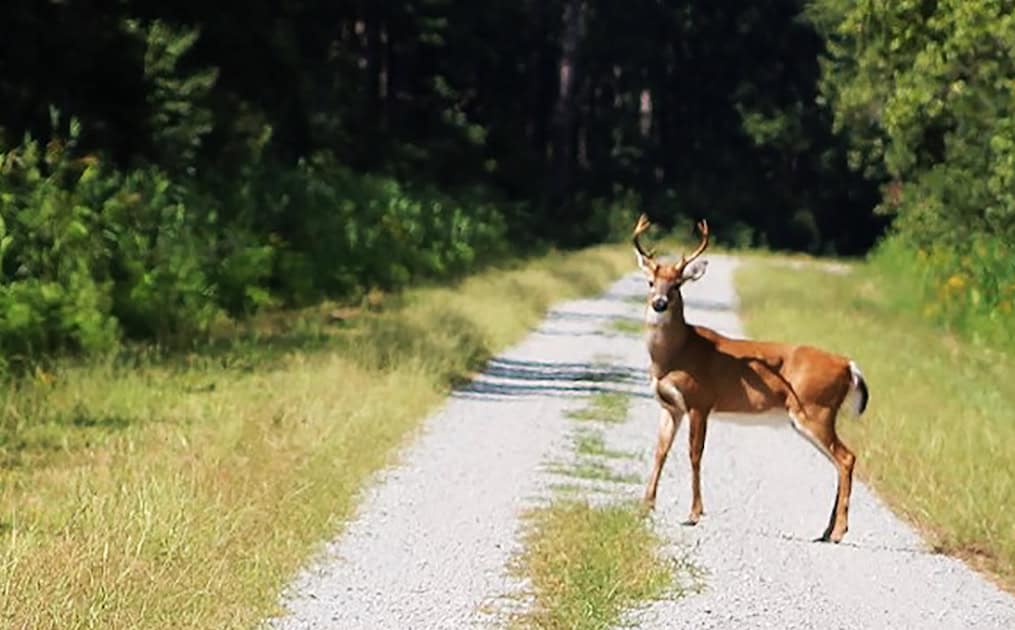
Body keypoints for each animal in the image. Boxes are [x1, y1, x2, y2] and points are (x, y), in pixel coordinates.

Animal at [632, 214, 870, 543]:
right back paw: (825, 530)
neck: (674, 355)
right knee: (839, 461)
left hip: (815, 410)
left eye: (677, 285)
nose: (659, 303)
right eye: (650, 282)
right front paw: (645, 505)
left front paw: (693, 514)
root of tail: (849, 365)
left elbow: (695, 455)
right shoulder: (671, 406)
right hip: (809, 417)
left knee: (846, 458)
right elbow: (660, 452)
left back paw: (838, 532)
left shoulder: (700, 401)